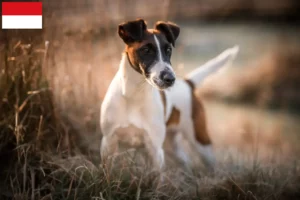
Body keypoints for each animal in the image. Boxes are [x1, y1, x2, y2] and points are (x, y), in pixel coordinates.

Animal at [101, 18, 239, 170]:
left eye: (168, 50)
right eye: (146, 50)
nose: (170, 78)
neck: (134, 95)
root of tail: (187, 83)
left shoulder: (155, 149)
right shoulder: (108, 142)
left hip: (200, 141)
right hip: (172, 145)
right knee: (185, 159)